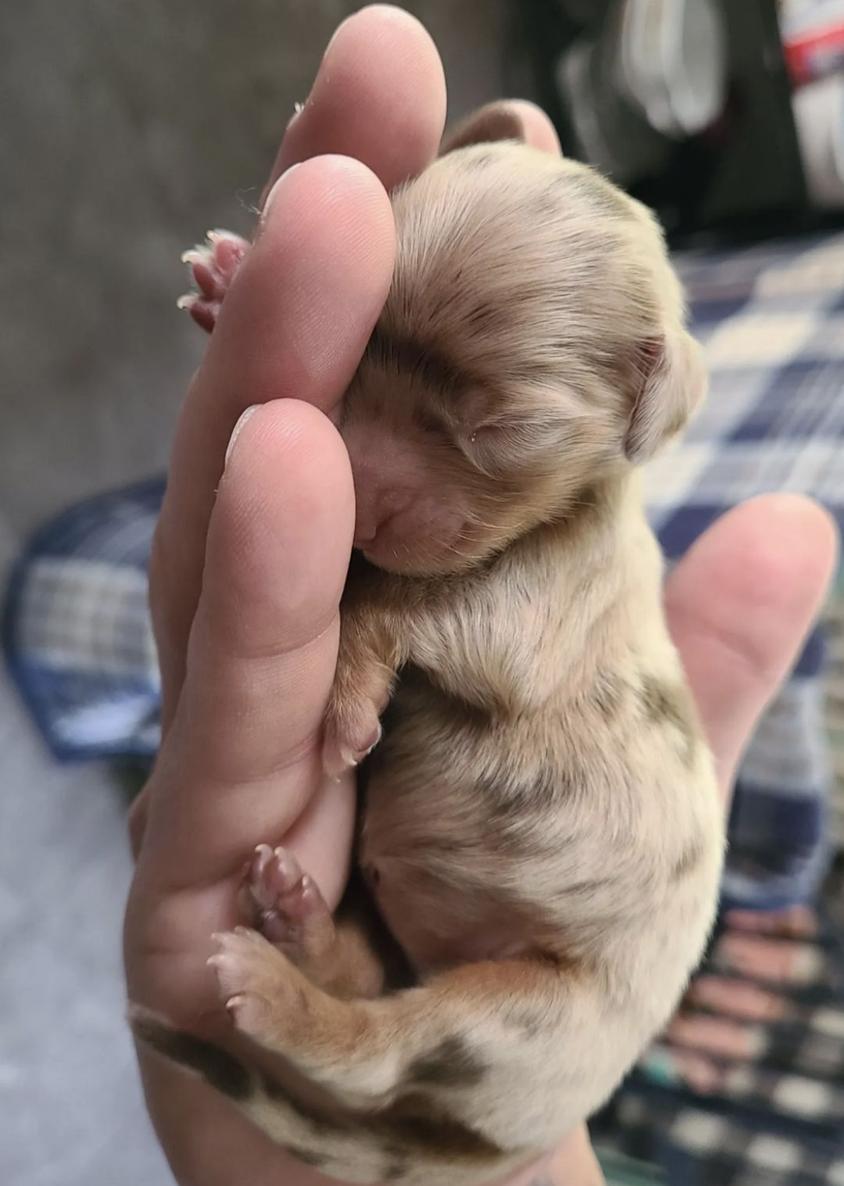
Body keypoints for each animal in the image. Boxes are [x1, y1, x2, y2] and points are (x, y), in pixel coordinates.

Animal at [133, 104, 725, 1186]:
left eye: (499, 427)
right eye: (363, 336)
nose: (357, 495)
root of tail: (500, 1136)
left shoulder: (535, 600)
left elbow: (402, 592)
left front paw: (350, 688)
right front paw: (233, 283)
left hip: (521, 1019)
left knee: (380, 1052)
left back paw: (276, 993)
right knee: (375, 976)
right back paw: (294, 917)